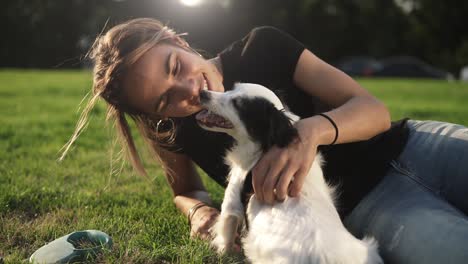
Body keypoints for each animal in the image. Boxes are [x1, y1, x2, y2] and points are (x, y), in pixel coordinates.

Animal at [196, 84, 382, 264]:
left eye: (238, 104)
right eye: (232, 88)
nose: (202, 93)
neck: (265, 147)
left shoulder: (232, 202)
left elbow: (225, 234)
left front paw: (222, 254)